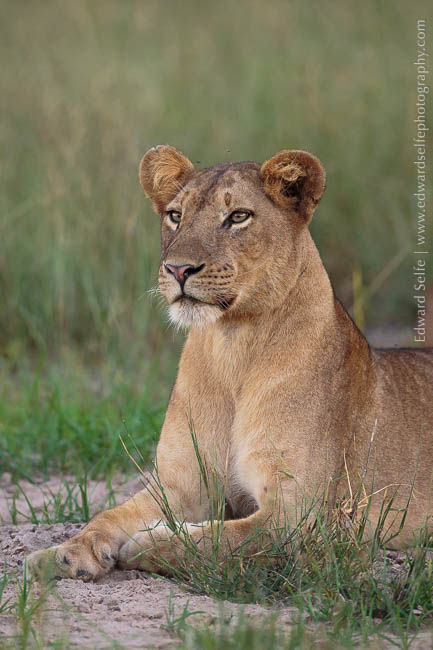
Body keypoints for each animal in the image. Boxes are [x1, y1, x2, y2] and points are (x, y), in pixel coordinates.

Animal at [28, 145, 433, 581]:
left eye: (238, 216)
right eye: (175, 215)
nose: (178, 269)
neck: (233, 347)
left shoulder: (303, 518)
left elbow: (220, 540)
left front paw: (150, 541)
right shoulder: (181, 485)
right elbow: (109, 515)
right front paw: (62, 554)